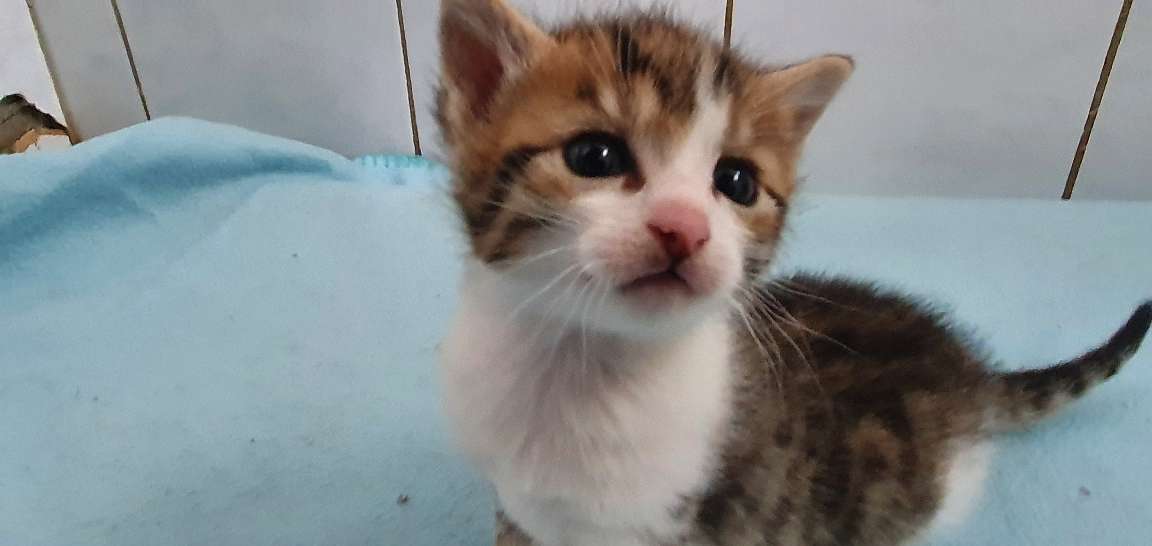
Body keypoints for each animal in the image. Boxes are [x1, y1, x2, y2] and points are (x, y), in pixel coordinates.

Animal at [434, 1, 1152, 545]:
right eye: (594, 156)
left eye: (736, 182)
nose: (682, 228)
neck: (579, 371)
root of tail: (967, 372)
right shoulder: (519, 504)